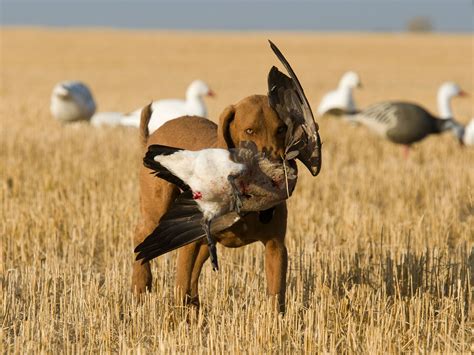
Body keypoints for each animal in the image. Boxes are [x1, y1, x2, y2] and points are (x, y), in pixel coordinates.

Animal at [133, 94, 292, 312]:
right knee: (139, 234)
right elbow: (181, 286)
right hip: (157, 210)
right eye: (250, 131)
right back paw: (141, 284)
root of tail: (152, 136)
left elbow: (276, 297)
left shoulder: (276, 246)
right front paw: (177, 318)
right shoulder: (188, 243)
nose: (276, 169)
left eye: (281, 129)